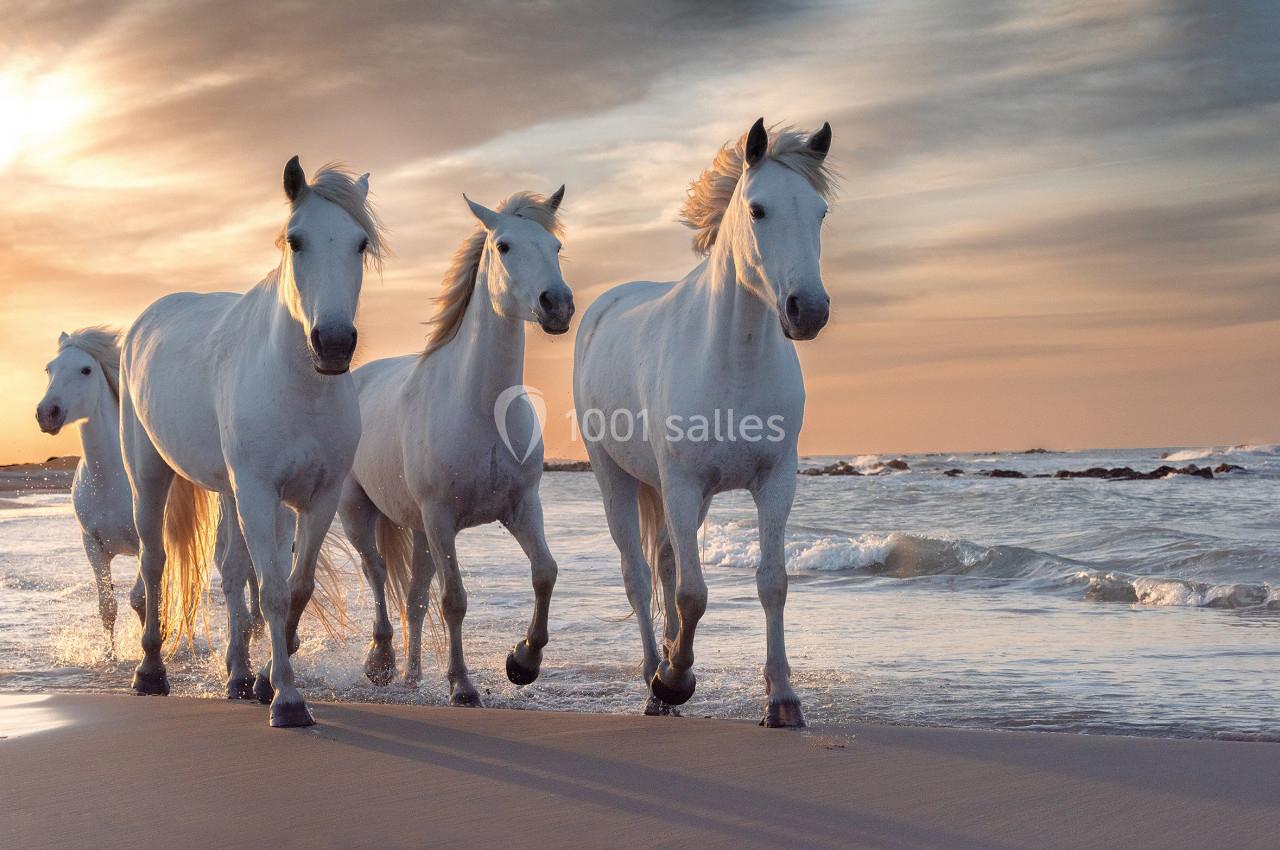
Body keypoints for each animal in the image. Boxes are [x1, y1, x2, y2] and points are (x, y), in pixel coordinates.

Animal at [119, 157, 384, 726]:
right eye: (296, 240)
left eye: (359, 243)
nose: (333, 344)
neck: (299, 387)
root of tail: (145, 321)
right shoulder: (260, 494)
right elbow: (275, 593)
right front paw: (288, 700)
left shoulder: (317, 497)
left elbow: (294, 586)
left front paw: (265, 681)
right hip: (149, 474)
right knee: (154, 561)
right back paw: (150, 671)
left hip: (228, 491)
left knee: (232, 571)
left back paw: (238, 675)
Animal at [336, 187, 572, 704]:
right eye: (504, 246)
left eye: (555, 246)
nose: (558, 305)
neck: (482, 408)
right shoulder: (442, 517)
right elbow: (454, 600)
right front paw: (462, 685)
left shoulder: (522, 506)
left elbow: (545, 572)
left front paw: (523, 662)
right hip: (360, 512)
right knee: (377, 572)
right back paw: (381, 662)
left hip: (420, 532)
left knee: (413, 598)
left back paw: (411, 677)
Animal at [573, 119, 834, 726]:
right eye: (758, 210)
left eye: (820, 213)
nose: (807, 310)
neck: (733, 361)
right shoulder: (682, 484)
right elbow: (693, 594)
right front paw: (674, 681)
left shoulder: (774, 482)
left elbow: (772, 583)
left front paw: (783, 699)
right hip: (616, 478)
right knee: (639, 575)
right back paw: (655, 678)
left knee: (666, 564)